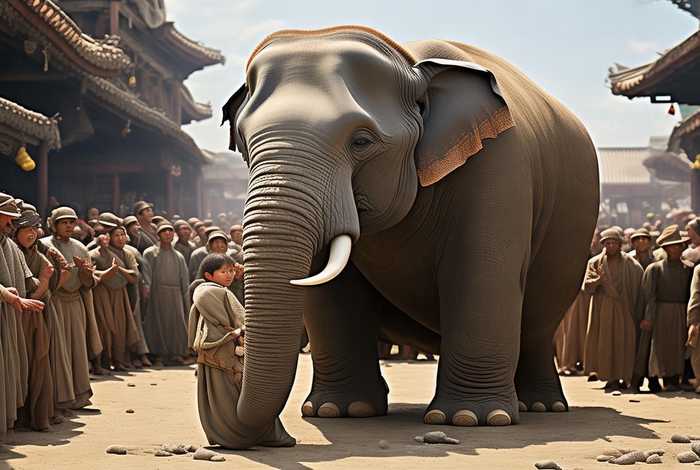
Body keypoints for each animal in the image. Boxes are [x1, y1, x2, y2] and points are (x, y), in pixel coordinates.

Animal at [219, 25, 599, 449]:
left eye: (362, 141)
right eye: (244, 141)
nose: (277, 435)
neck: (409, 62)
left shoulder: (498, 161)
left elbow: (482, 272)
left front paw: (471, 419)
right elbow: (329, 290)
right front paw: (339, 411)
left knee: (537, 324)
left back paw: (539, 406)